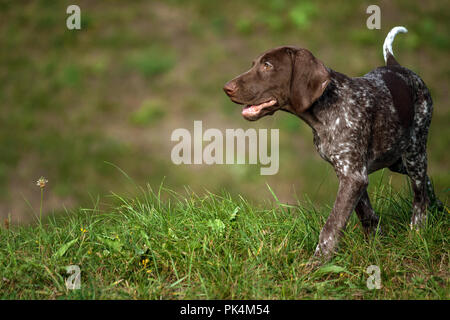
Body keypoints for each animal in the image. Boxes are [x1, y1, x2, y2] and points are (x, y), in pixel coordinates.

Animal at [223, 26, 442, 262]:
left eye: (267, 65)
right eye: (254, 64)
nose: (227, 88)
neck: (326, 107)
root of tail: (396, 66)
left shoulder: (353, 176)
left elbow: (332, 225)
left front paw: (317, 263)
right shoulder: (352, 174)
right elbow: (365, 214)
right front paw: (375, 245)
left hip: (414, 149)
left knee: (419, 195)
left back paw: (418, 231)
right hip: (396, 158)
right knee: (425, 182)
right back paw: (438, 208)